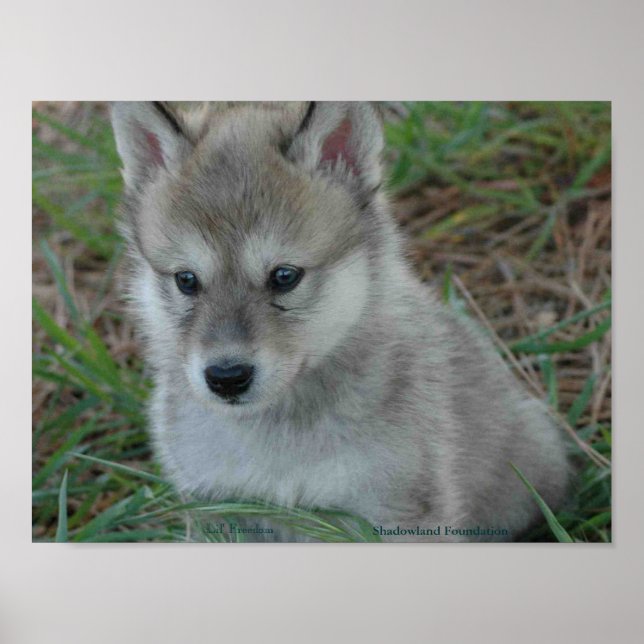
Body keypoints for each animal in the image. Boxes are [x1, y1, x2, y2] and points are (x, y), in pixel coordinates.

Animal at [111, 101, 569, 542]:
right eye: (186, 280)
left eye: (285, 276)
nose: (226, 377)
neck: (282, 428)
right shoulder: (219, 508)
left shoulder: (401, 512)